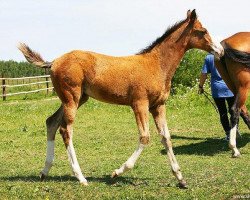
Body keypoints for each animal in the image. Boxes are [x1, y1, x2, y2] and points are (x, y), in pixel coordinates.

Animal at [18, 9, 223, 188]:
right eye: (203, 31)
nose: (220, 50)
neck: (156, 64)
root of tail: (54, 61)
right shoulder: (140, 104)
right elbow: (145, 137)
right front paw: (117, 172)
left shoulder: (158, 106)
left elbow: (166, 138)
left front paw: (180, 179)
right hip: (71, 99)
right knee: (65, 130)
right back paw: (81, 177)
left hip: (78, 99)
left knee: (51, 122)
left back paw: (44, 172)